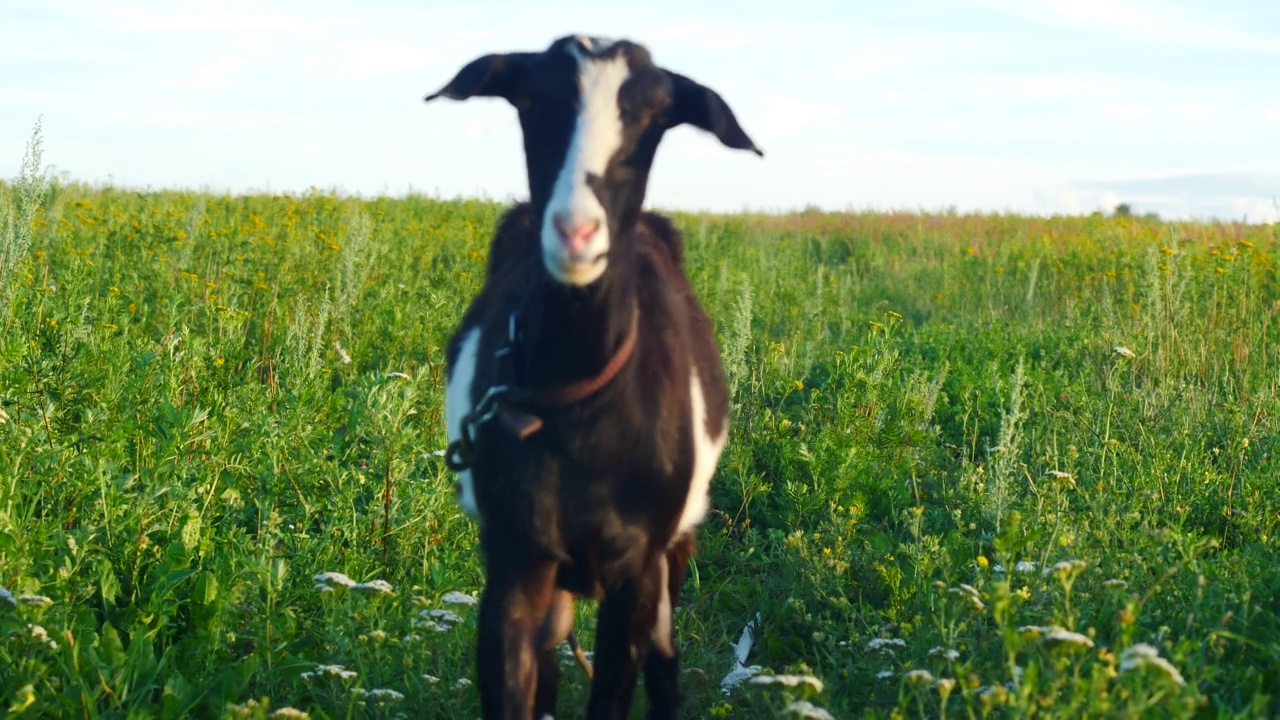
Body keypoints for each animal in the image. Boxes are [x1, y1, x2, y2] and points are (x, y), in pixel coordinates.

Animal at [427, 35, 757, 717]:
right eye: (531, 100)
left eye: (654, 116)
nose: (576, 232)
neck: (580, 404)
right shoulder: (516, 556)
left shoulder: (639, 566)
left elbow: (620, 685)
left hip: (676, 547)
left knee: (665, 660)